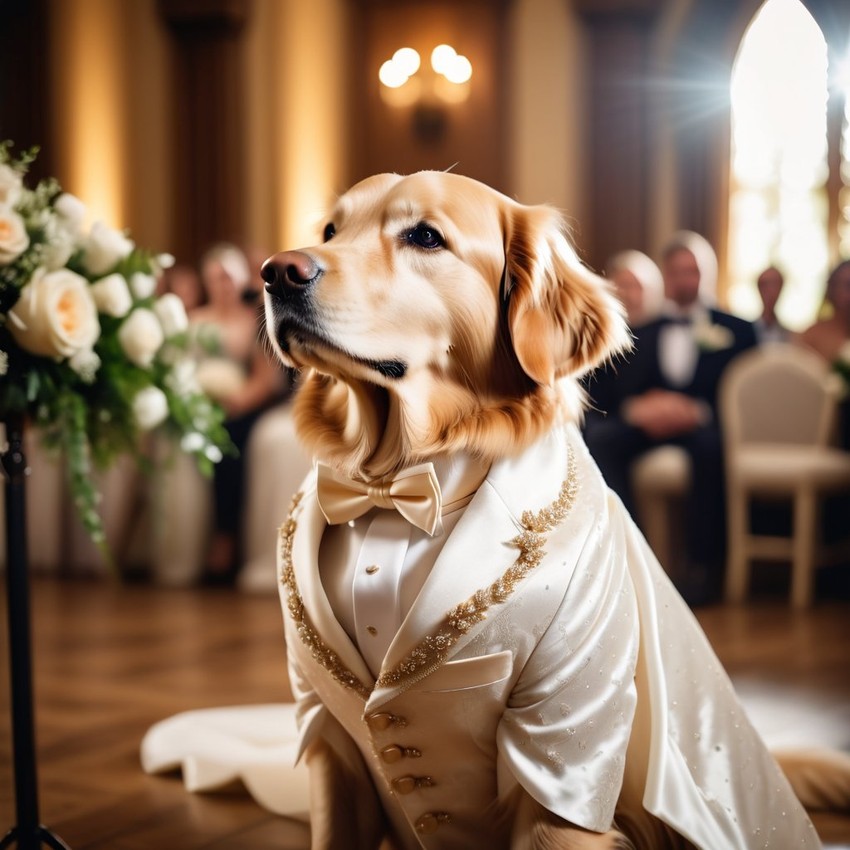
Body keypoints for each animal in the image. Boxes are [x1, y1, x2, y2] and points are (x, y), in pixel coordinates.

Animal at [262, 169, 844, 844]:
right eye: (331, 230)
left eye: (425, 236)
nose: (276, 272)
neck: (398, 486)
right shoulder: (325, 731)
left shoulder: (565, 745)